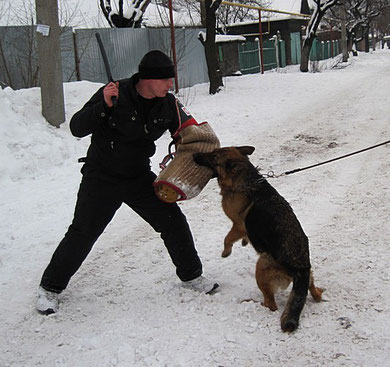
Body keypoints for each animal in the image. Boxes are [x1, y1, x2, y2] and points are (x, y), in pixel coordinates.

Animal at [193, 147, 322, 334]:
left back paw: (253, 303)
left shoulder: (238, 225)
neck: (245, 180)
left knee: (271, 305)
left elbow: (227, 237)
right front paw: (244, 242)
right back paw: (318, 292)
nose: (194, 155)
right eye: (213, 151)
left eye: (213, 157)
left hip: (261, 266)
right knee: (313, 291)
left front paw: (226, 251)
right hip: (307, 275)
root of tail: (300, 269)